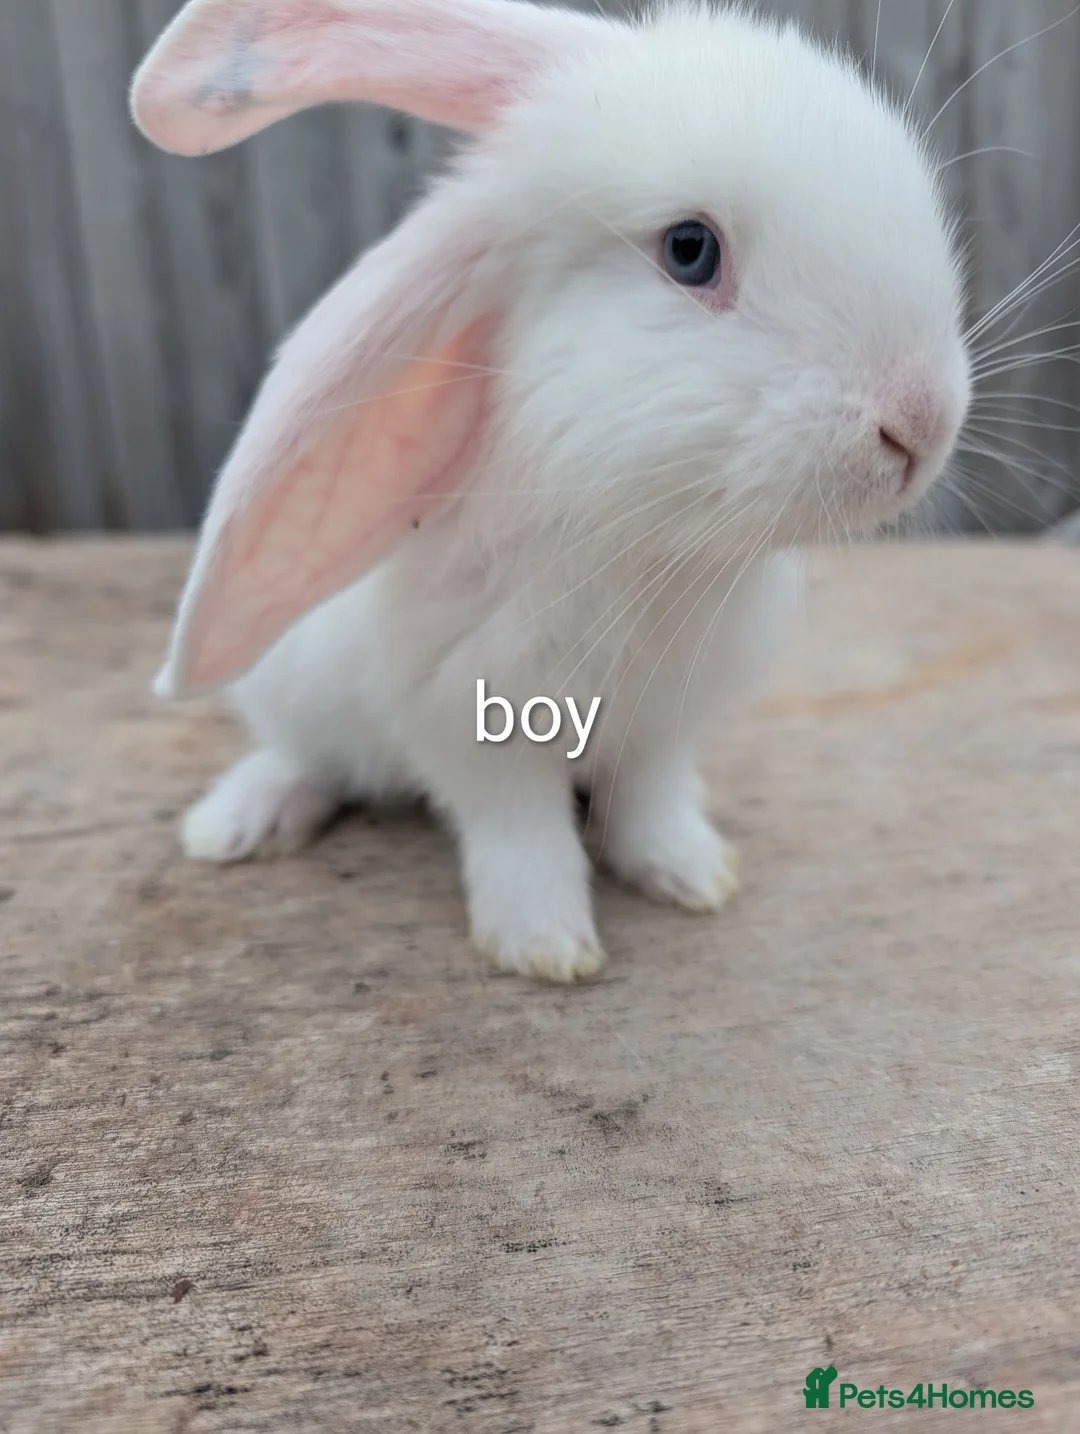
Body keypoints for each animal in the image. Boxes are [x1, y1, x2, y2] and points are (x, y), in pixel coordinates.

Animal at [131, 0, 971, 983]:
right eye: (690, 251)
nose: (922, 422)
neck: (644, 541)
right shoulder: (474, 721)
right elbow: (520, 836)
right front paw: (545, 947)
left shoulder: (660, 729)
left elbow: (648, 805)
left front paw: (693, 876)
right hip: (294, 687)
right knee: (309, 760)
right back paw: (240, 822)